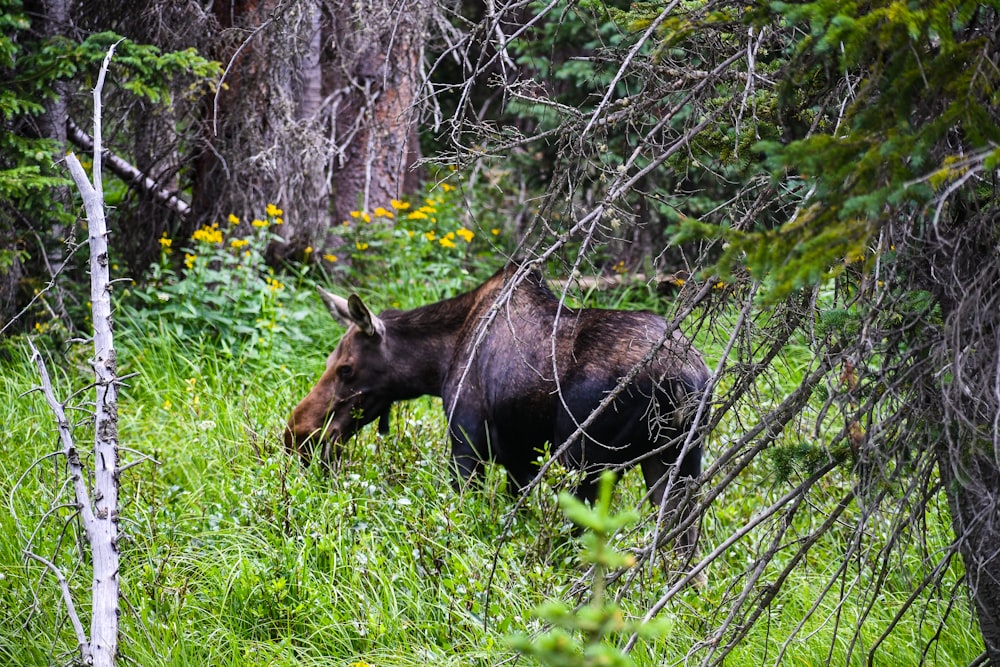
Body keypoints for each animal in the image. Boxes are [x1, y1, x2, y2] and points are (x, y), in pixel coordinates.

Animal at [286, 266, 716, 552]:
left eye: (346, 368)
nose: (298, 432)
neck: (436, 364)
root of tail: (686, 381)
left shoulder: (466, 443)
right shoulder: (519, 459)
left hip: (587, 460)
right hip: (678, 462)